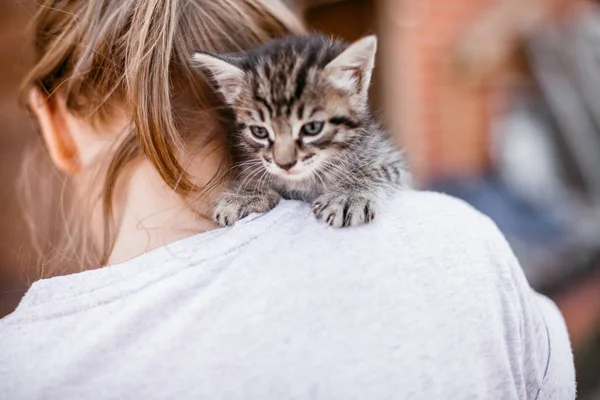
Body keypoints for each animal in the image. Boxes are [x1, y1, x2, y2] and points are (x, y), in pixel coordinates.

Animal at [195, 34, 410, 227]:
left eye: (312, 128)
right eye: (259, 131)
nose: (284, 164)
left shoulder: (389, 157)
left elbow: (376, 170)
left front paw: (348, 195)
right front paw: (247, 193)